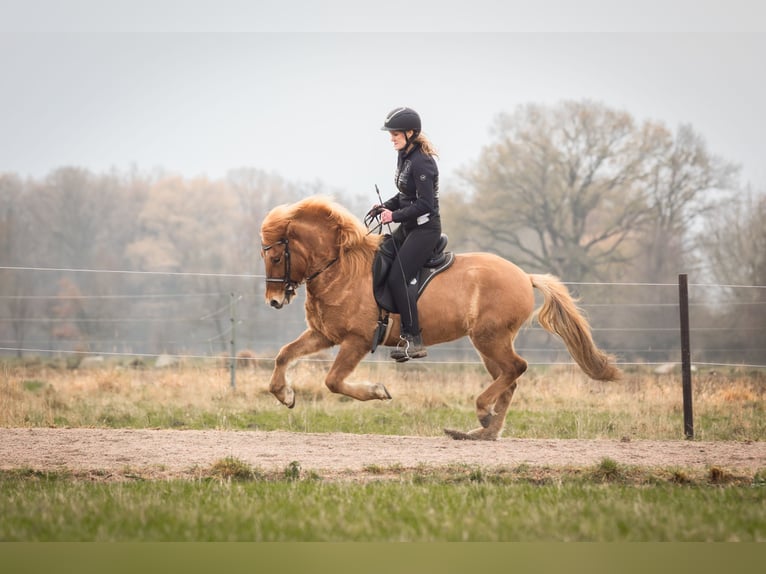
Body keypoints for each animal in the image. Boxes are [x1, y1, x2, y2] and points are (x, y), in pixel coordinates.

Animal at [260, 196, 621, 440]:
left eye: (276, 257)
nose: (274, 302)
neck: (340, 268)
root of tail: (524, 276)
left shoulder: (357, 340)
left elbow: (333, 381)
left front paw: (378, 391)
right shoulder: (324, 334)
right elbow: (284, 355)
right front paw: (285, 395)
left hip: (490, 338)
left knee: (516, 369)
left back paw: (482, 415)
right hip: (489, 344)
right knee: (509, 379)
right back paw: (483, 433)